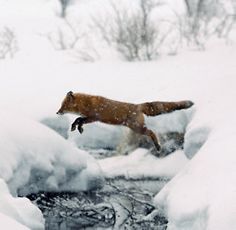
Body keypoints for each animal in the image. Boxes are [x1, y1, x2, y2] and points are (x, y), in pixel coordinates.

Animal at [57, 90, 194, 155]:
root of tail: (138, 106)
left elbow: (79, 119)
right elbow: (78, 120)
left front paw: (77, 127)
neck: (87, 104)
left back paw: (158, 146)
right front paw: (77, 128)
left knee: (151, 132)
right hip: (136, 127)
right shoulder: (89, 118)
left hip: (137, 128)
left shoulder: (94, 117)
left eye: (63, 106)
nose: (57, 112)